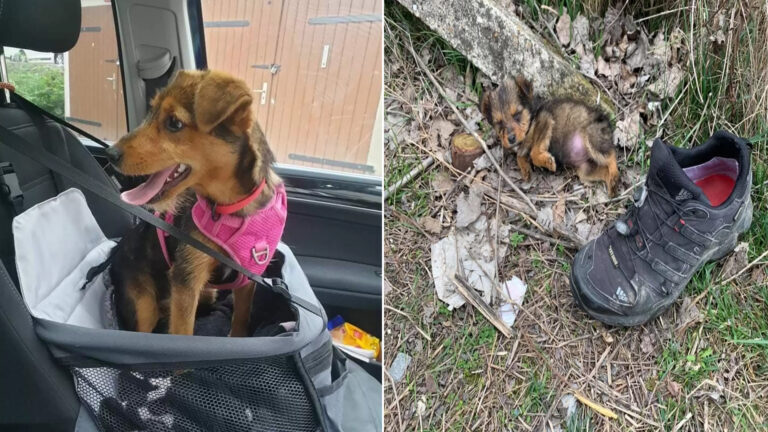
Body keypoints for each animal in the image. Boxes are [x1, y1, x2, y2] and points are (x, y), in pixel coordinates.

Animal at [106, 69, 286, 338]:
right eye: (151, 112)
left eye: (174, 123)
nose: (110, 154)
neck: (227, 208)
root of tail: (115, 251)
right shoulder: (187, 280)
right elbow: (182, 335)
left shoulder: (247, 278)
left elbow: (241, 319)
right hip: (141, 303)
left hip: (208, 293)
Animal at [480, 76, 616, 196]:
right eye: (499, 123)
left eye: (517, 115)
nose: (511, 139)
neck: (531, 117)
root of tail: (606, 121)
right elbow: (520, 154)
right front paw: (525, 170)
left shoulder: (544, 121)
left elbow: (534, 152)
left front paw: (546, 161)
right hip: (586, 169)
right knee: (604, 170)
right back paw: (611, 184)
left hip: (593, 138)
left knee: (611, 155)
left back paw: (614, 176)